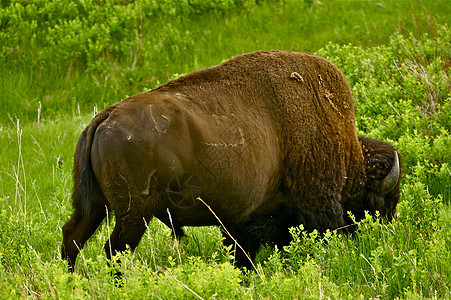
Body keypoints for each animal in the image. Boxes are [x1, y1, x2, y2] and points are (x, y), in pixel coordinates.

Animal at [61, 50, 402, 270]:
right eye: (382, 202)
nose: (384, 233)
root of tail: (106, 116)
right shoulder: (319, 205)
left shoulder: (240, 220)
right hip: (133, 213)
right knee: (114, 250)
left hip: (95, 206)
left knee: (72, 238)